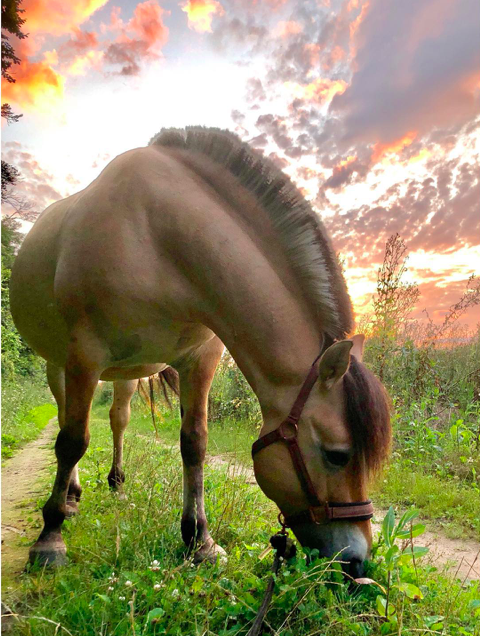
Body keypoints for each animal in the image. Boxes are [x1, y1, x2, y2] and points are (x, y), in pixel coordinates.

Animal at [10, 125, 390, 576]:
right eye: (337, 456)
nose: (357, 562)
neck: (155, 238)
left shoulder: (200, 360)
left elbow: (194, 443)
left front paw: (200, 541)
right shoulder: (85, 355)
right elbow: (71, 441)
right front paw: (50, 539)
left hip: (126, 374)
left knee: (118, 419)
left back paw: (115, 485)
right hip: (61, 365)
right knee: (68, 419)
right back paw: (68, 497)